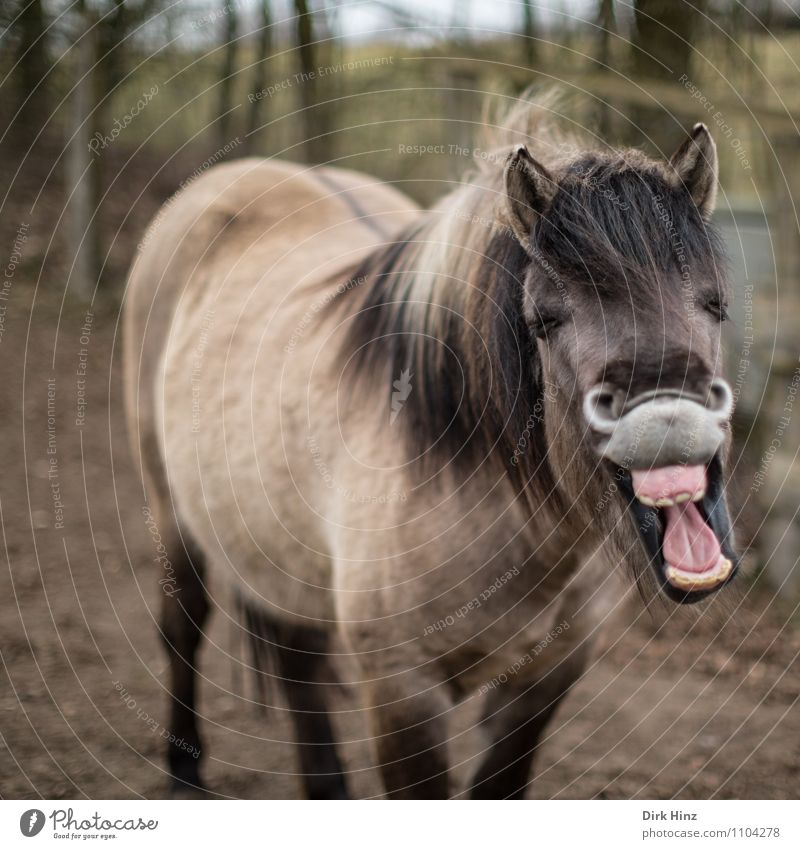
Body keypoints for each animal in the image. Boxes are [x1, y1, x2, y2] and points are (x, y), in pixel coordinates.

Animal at [122, 96, 740, 800]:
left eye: (716, 305)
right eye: (546, 320)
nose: (670, 424)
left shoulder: (545, 677)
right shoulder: (403, 694)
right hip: (172, 511)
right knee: (184, 626)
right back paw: (185, 770)